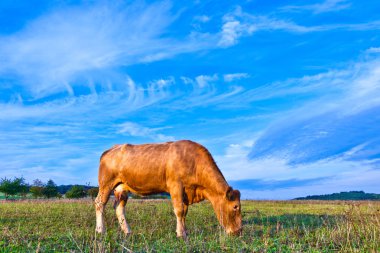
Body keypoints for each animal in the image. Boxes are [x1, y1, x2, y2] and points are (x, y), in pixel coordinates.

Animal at [96, 140, 242, 237]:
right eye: (235, 206)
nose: (239, 231)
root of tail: (111, 149)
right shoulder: (176, 185)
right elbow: (179, 210)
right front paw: (181, 234)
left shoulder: (186, 192)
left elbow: (184, 212)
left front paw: (184, 231)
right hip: (106, 183)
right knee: (99, 203)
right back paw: (100, 230)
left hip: (121, 187)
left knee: (119, 207)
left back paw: (127, 231)